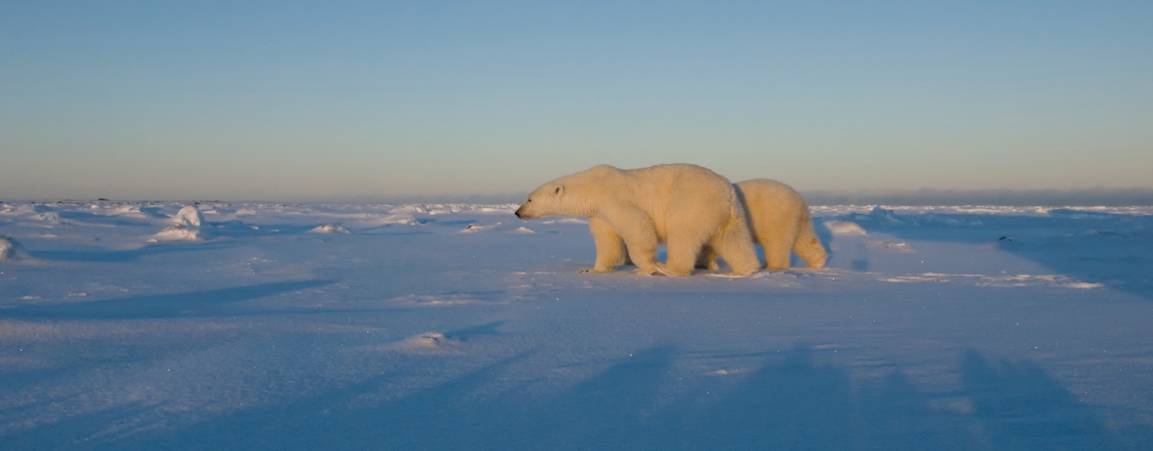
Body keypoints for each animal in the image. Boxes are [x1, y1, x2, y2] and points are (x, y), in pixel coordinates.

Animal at [514, 164, 760, 276]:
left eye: (529, 198)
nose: (517, 212)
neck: (592, 188)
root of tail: (726, 192)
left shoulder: (615, 199)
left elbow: (638, 226)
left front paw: (645, 267)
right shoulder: (600, 213)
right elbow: (607, 241)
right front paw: (592, 270)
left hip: (691, 203)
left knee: (682, 235)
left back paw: (669, 268)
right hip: (729, 214)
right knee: (734, 240)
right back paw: (746, 270)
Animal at [699, 179, 827, 270]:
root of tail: (800, 199)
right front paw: (707, 265)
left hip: (775, 216)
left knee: (776, 242)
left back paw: (773, 267)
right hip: (798, 220)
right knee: (804, 239)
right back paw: (817, 262)